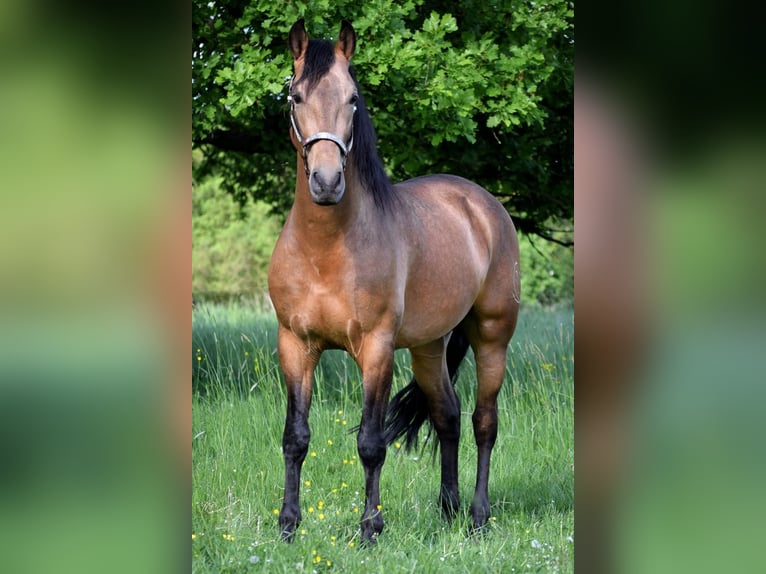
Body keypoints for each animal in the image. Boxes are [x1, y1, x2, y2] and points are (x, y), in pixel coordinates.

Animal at [268, 19, 521, 544]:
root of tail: (482, 204)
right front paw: (287, 525)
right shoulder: (295, 345)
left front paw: (370, 529)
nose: (326, 182)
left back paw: (477, 517)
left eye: (352, 99)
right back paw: (447, 509)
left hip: (492, 337)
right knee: (447, 416)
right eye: (296, 97)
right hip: (428, 347)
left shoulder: (377, 348)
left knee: (484, 422)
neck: (324, 250)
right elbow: (295, 437)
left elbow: (371, 441)